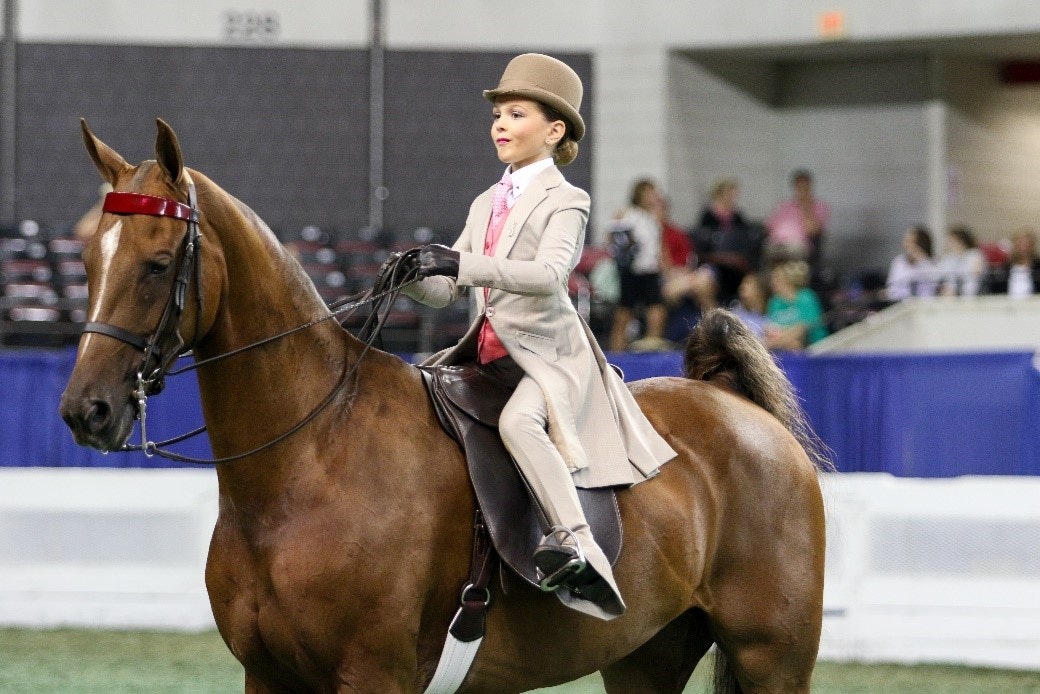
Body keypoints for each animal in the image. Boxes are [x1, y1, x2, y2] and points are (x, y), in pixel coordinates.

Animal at [60, 120, 827, 694]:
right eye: (88, 263)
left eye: (158, 265)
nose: (85, 411)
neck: (309, 457)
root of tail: (732, 406)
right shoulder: (267, 677)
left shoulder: (372, 677)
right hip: (647, 656)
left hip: (773, 659)